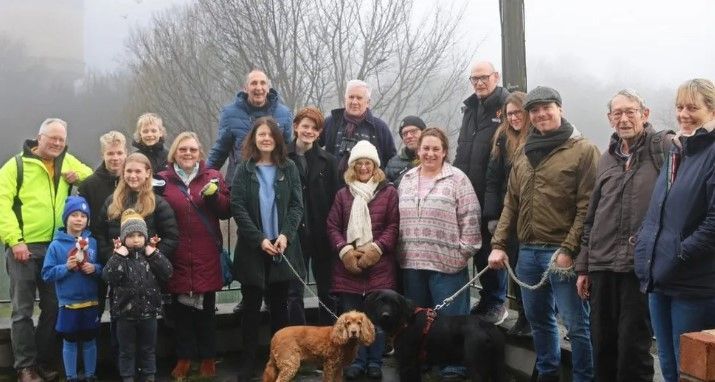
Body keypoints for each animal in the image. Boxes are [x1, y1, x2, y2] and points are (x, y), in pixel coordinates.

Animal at [366, 288, 506, 380]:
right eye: (380, 301)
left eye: (395, 304)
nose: (385, 316)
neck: (405, 320)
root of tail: (487, 325)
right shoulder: (415, 364)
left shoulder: (407, 364)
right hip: (496, 366)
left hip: (476, 365)